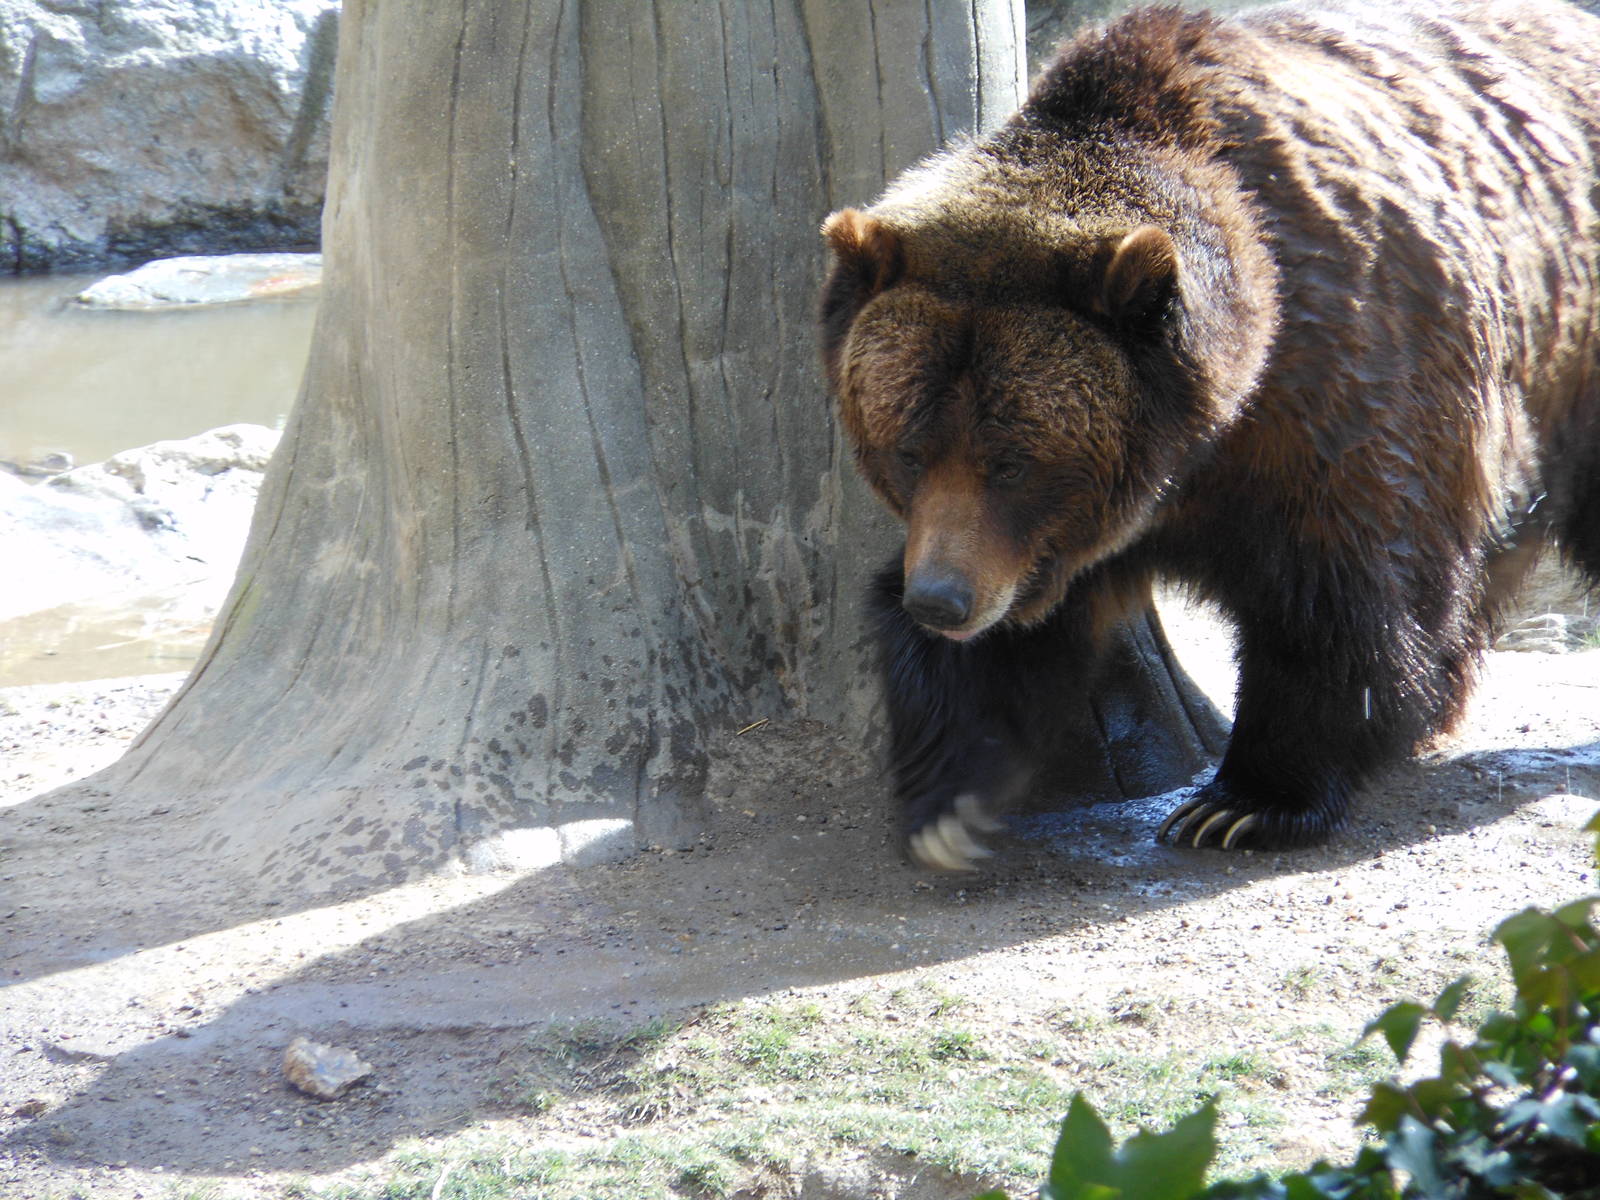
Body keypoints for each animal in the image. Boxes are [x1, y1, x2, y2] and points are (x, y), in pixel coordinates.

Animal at [818, 0, 1600, 871]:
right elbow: (1018, 631)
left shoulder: (1334, 398)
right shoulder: (1070, 527)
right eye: (908, 447)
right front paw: (947, 799)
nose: (941, 599)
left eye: (1013, 461)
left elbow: (1341, 600)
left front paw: (1244, 803)